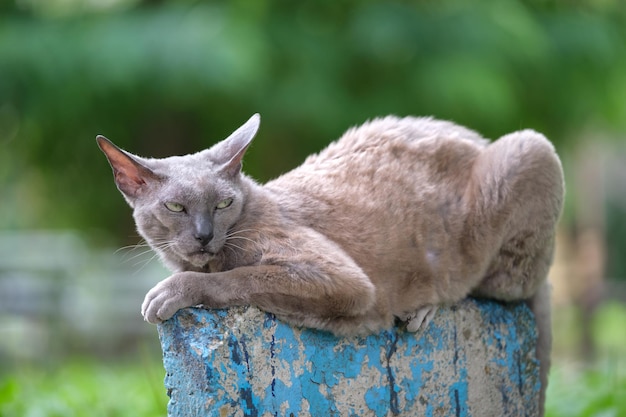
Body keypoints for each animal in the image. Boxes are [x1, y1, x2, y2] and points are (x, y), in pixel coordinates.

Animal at [100, 114, 564, 412]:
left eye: (223, 204)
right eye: (176, 207)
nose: (203, 234)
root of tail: (477, 138)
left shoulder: (341, 279)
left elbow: (240, 276)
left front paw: (168, 294)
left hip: (532, 149)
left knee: (498, 286)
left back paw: (424, 308)